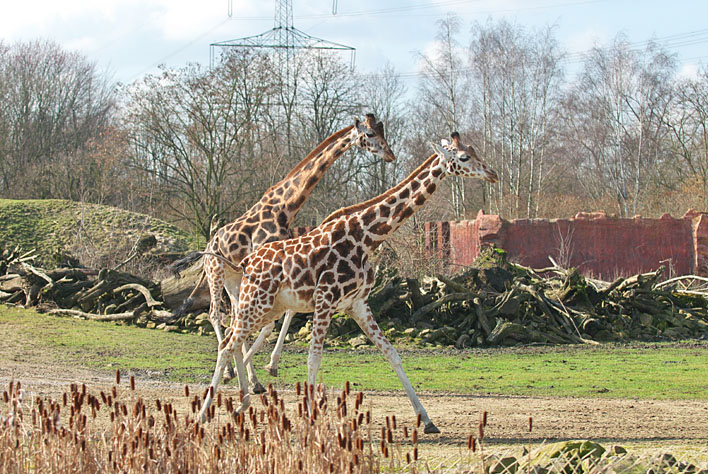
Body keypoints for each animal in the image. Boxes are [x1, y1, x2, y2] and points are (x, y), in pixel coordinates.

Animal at [171, 113, 392, 390]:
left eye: (384, 132)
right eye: (370, 134)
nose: (390, 155)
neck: (286, 207)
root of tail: (209, 244)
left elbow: (286, 314)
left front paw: (269, 367)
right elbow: (270, 323)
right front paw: (255, 372)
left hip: (234, 279)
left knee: (233, 316)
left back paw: (240, 374)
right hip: (216, 273)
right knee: (215, 313)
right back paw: (233, 372)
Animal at [196, 132, 498, 434]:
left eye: (475, 151)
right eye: (464, 157)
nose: (493, 174)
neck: (366, 238)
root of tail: (246, 263)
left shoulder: (358, 304)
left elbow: (392, 354)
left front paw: (426, 419)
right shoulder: (325, 299)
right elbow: (314, 359)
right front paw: (311, 420)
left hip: (267, 307)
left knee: (234, 339)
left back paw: (241, 403)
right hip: (254, 302)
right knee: (226, 343)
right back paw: (202, 415)